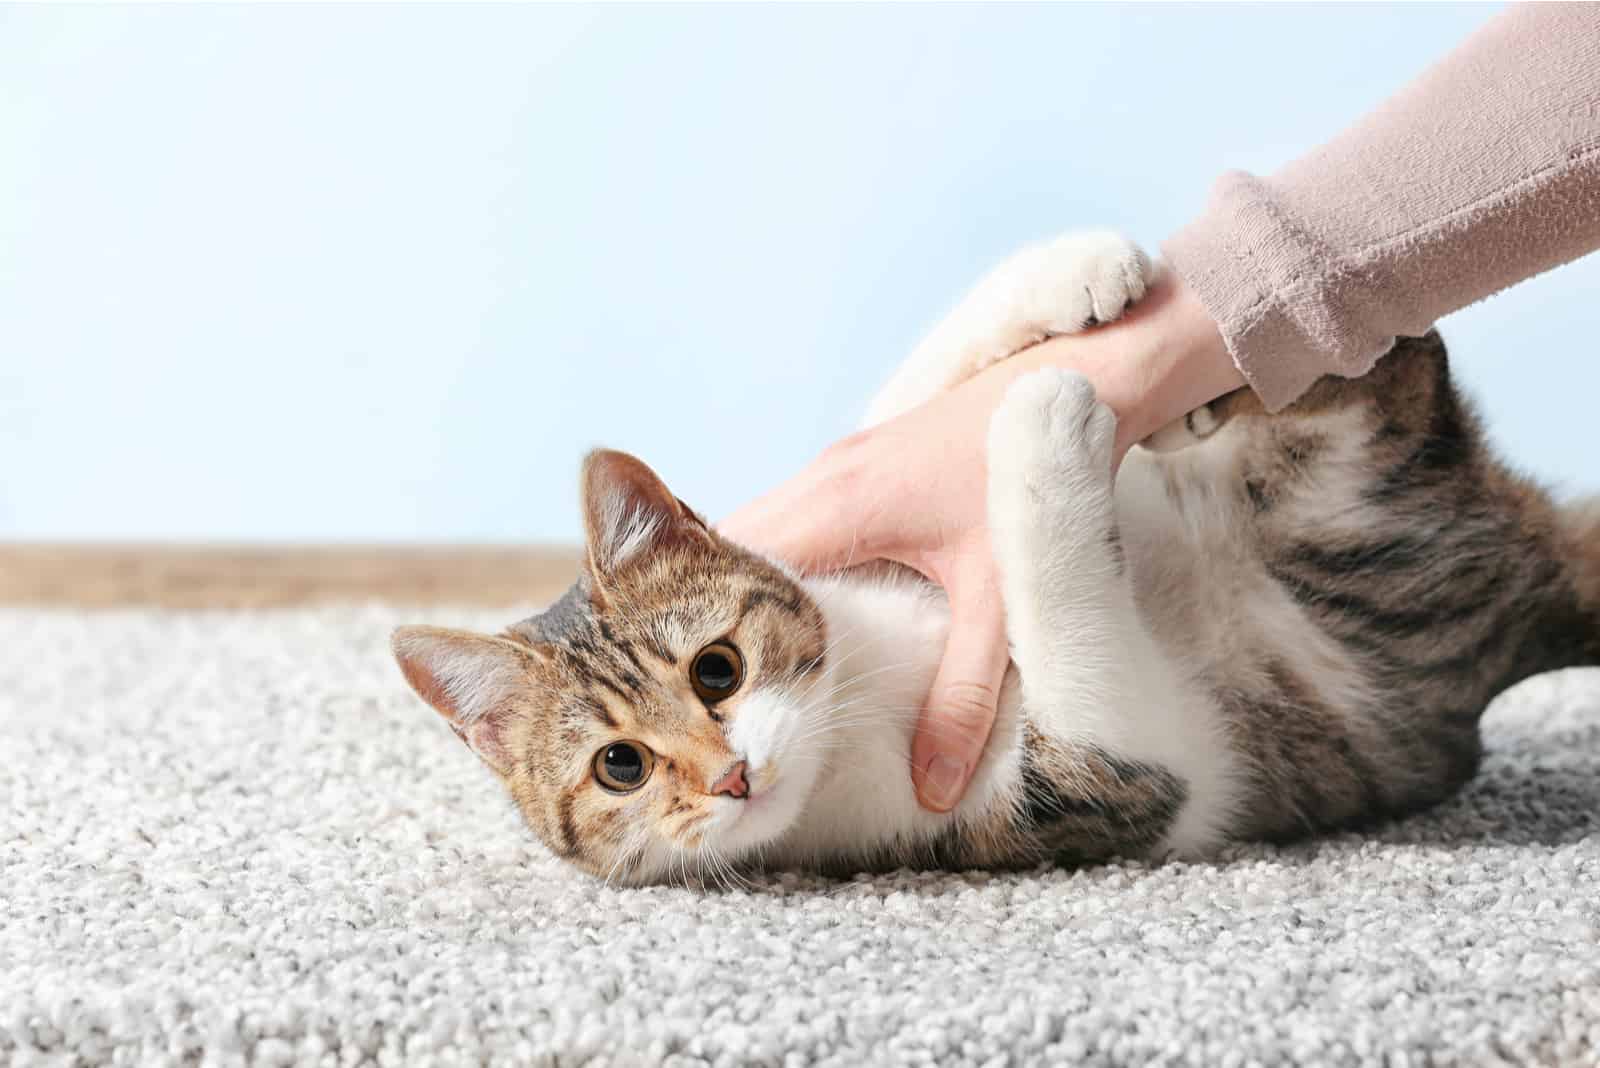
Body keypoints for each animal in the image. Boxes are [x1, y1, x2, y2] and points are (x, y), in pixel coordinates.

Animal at [390, 231, 1600, 882]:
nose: (729, 775)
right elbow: (1076, 636)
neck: (860, 705)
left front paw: (1068, 277)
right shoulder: (1103, 780)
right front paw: (1041, 420)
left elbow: (905, 409)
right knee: (1391, 381)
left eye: (716, 669)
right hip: (1364, 524)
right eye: (621, 769)